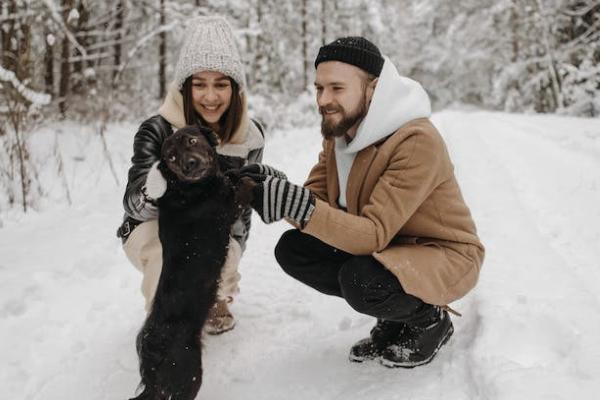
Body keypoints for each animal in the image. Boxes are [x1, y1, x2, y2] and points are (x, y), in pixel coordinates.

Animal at [129, 125, 253, 400]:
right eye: (171, 157)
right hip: (188, 374)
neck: (187, 189)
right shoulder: (228, 206)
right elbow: (241, 184)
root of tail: (151, 347)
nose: (189, 164)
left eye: (192, 140)